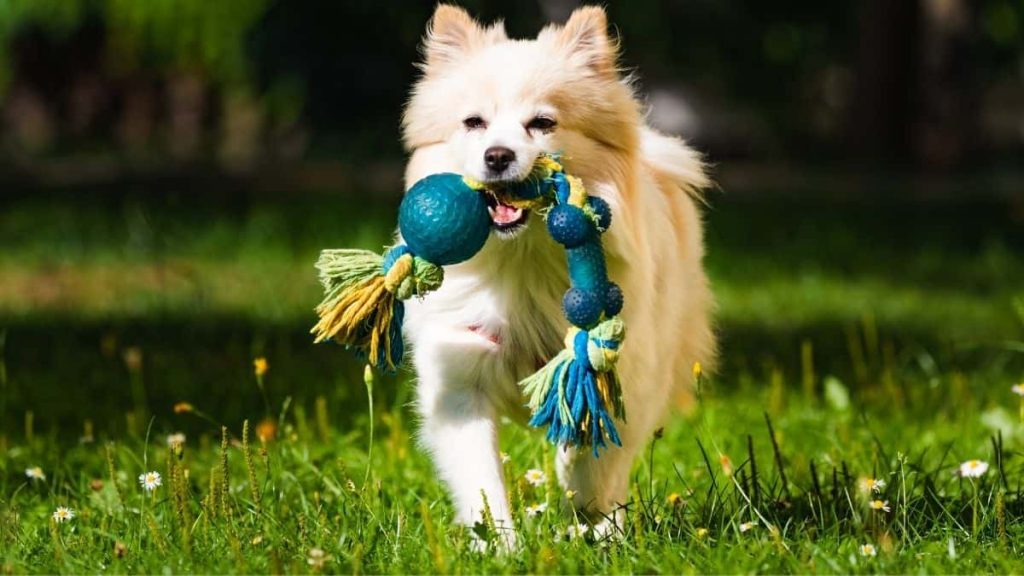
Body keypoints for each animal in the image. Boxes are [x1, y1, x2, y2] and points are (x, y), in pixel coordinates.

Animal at [397, 3, 712, 541]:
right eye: (474, 123)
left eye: (542, 123)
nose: (497, 155)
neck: (522, 260)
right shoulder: (460, 379)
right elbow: (482, 480)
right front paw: (500, 544)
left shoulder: (617, 373)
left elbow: (591, 456)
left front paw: (587, 518)